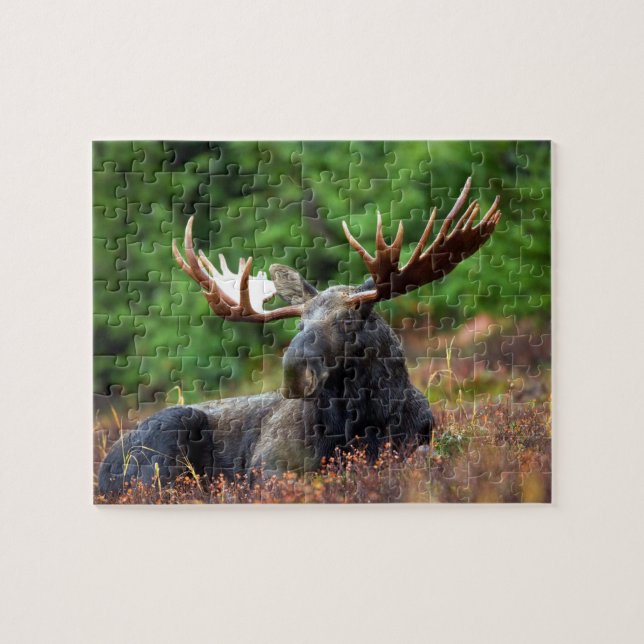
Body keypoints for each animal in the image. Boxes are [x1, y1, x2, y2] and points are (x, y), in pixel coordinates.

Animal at [98, 178, 501, 495]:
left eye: (350, 319)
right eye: (300, 324)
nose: (294, 372)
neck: (361, 423)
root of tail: (103, 469)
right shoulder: (268, 465)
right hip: (166, 440)